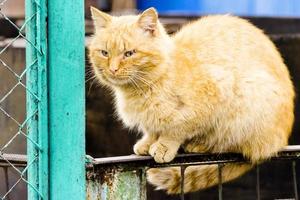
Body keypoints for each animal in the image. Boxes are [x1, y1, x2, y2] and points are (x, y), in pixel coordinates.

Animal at [88, 7, 294, 194]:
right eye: (104, 53)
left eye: (129, 53)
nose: (113, 69)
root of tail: (280, 141)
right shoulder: (150, 121)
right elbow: (152, 129)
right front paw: (147, 143)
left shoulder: (212, 95)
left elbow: (177, 128)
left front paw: (164, 146)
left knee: (235, 145)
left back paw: (200, 144)